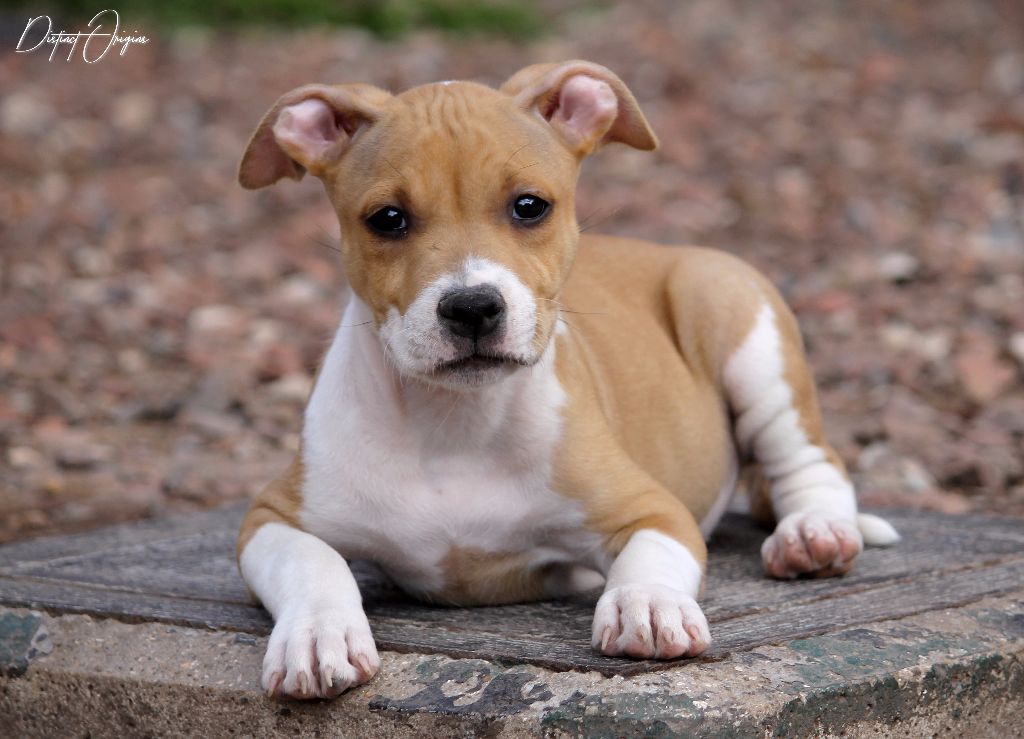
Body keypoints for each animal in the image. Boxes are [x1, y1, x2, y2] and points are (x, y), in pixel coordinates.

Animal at [234, 60, 900, 700]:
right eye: (387, 219)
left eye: (530, 206)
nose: (472, 307)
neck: (456, 422)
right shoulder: (271, 518)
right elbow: (314, 562)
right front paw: (318, 634)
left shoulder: (654, 508)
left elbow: (650, 556)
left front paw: (646, 605)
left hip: (735, 319)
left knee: (809, 462)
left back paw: (814, 534)